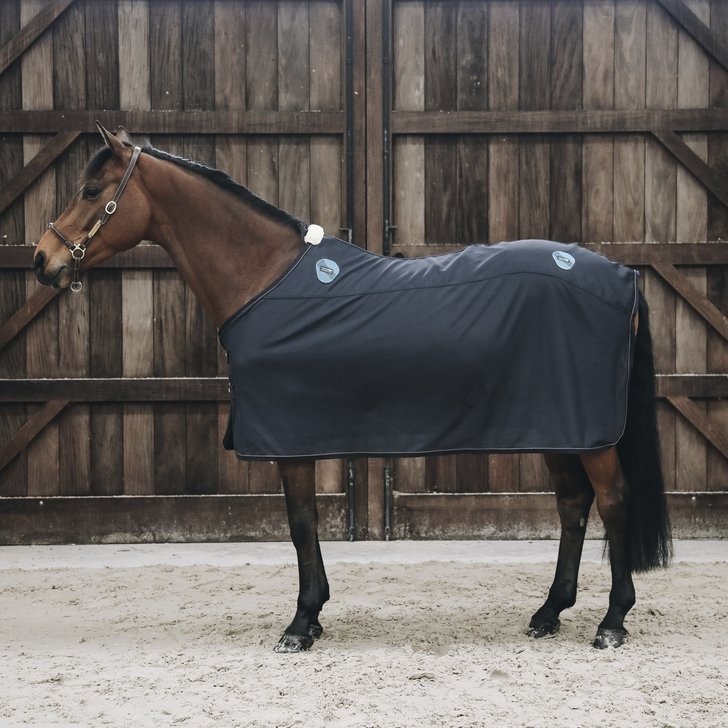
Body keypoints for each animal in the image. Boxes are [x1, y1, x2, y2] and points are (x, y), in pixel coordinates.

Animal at [33, 123, 671, 652]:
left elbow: (300, 524)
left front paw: (300, 624)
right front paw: (313, 616)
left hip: (590, 435)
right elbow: (308, 523)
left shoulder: (289, 439)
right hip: (557, 427)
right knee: (573, 505)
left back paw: (612, 622)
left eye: (91, 190)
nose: (43, 260)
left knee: (612, 502)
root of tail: (622, 276)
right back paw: (548, 612)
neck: (264, 278)